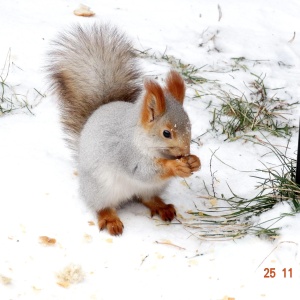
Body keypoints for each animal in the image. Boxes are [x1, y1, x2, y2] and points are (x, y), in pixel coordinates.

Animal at [47, 23, 200, 236]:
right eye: (166, 133)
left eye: (190, 125)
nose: (185, 152)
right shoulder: (126, 153)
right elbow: (143, 171)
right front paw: (176, 166)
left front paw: (195, 161)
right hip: (101, 188)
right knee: (102, 206)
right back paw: (110, 219)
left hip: (152, 188)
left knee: (147, 198)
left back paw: (162, 207)